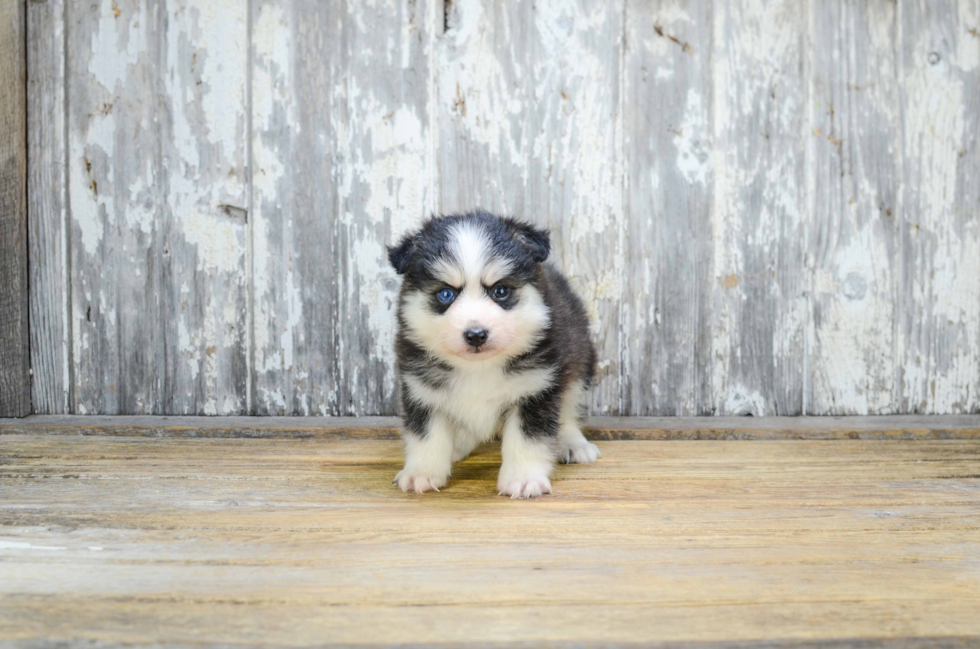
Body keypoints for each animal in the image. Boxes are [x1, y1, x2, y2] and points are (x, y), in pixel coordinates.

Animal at [386, 210, 600, 498]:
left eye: (500, 291)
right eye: (446, 294)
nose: (476, 334)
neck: (478, 368)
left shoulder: (535, 389)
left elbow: (528, 438)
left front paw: (523, 477)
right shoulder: (422, 390)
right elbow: (426, 435)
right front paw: (422, 472)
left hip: (580, 361)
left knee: (567, 410)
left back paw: (572, 443)